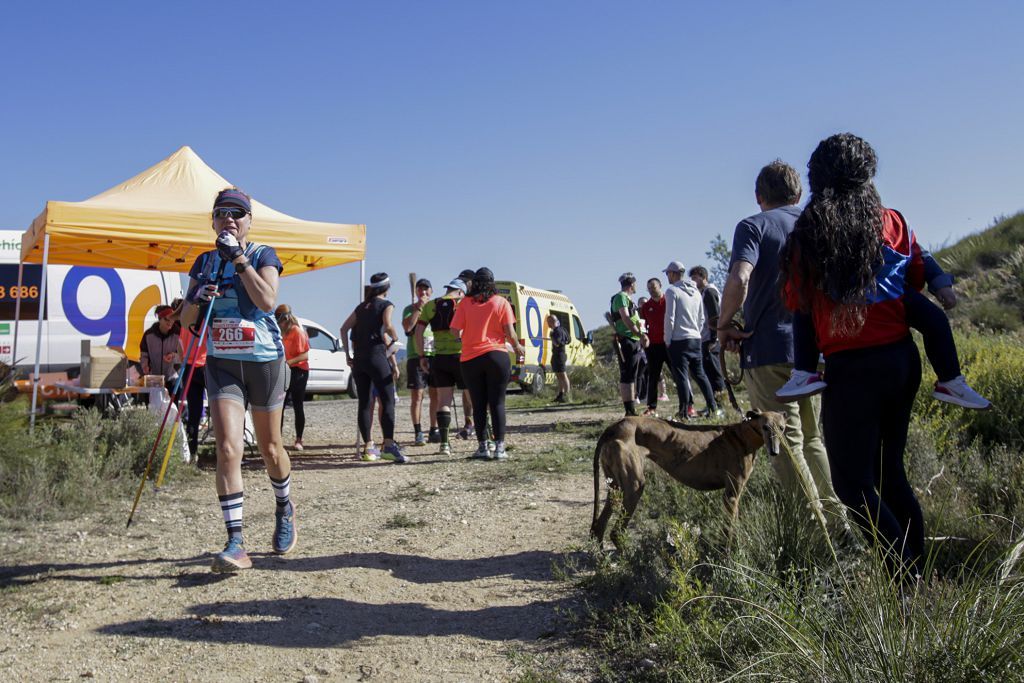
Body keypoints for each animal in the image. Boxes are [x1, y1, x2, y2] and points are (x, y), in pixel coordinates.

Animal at [593, 409, 782, 548]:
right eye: (765, 427)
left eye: (781, 428)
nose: (775, 451)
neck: (742, 435)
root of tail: (613, 427)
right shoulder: (731, 495)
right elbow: (728, 533)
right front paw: (729, 557)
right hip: (634, 488)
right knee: (616, 533)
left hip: (615, 488)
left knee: (598, 527)